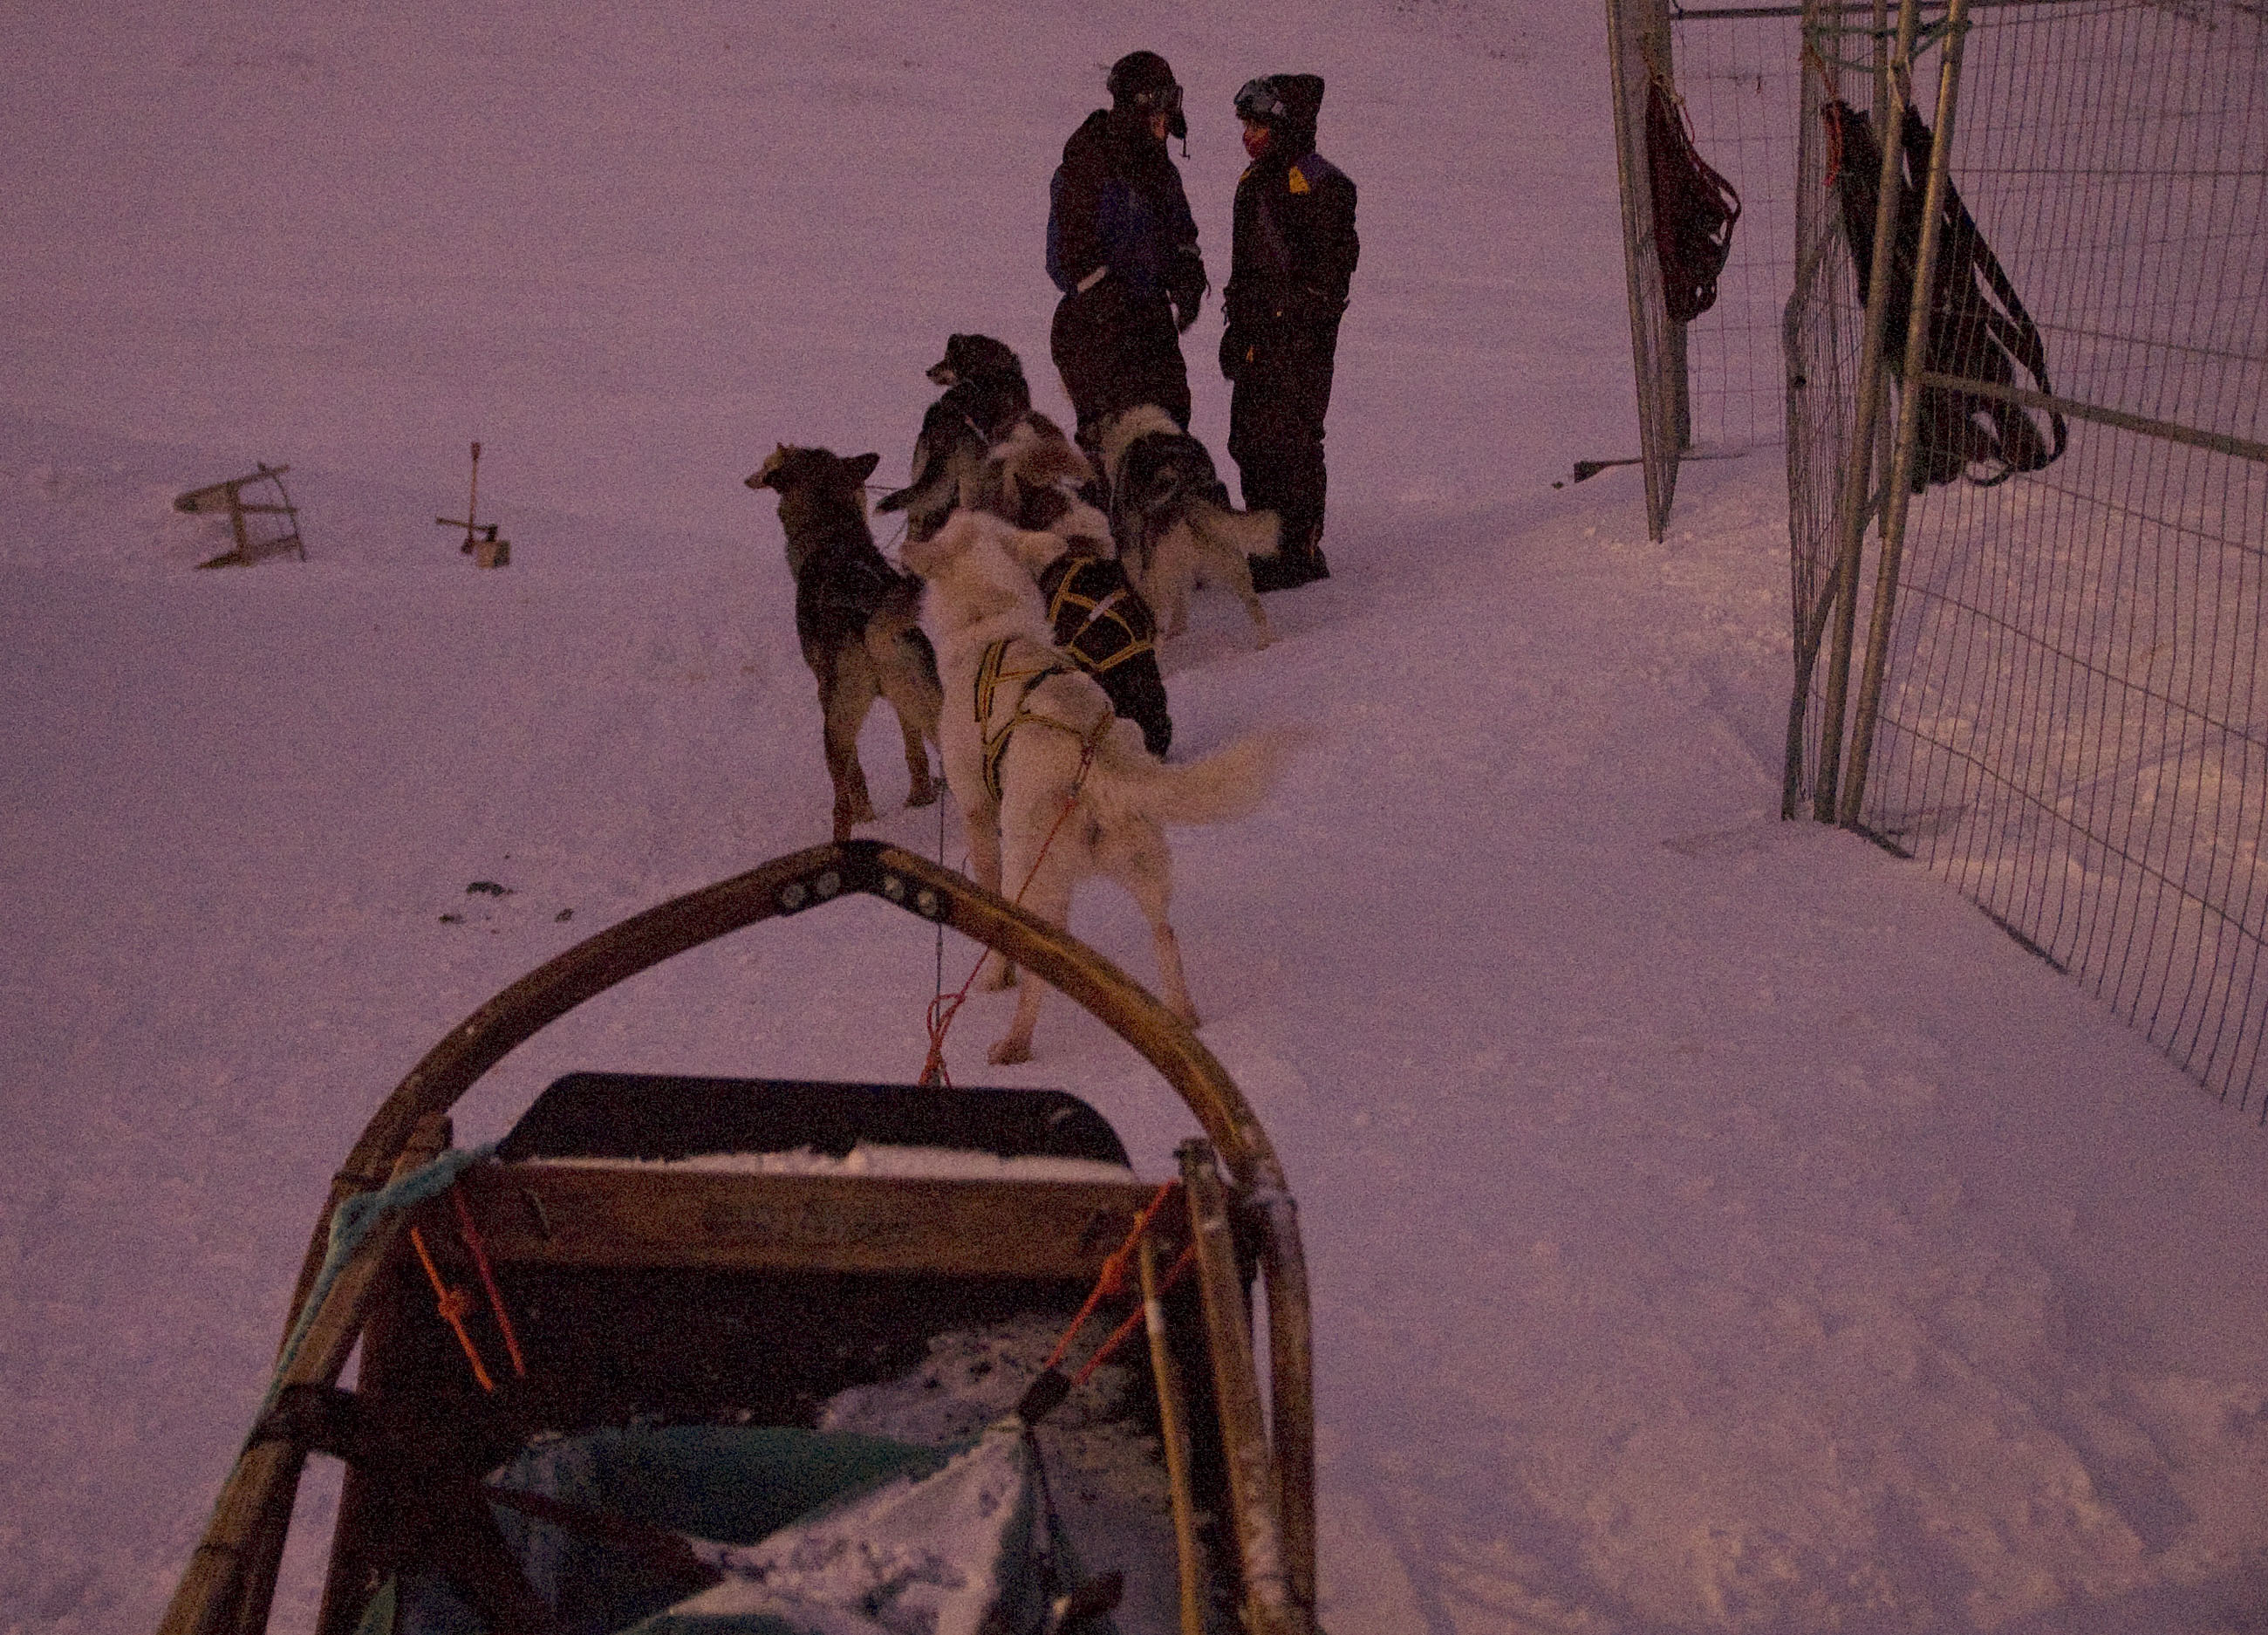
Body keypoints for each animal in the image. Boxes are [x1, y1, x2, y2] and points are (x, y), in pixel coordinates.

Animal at [748, 441, 943, 843]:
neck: (833, 536)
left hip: (836, 726)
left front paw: (868, 815)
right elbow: (915, 755)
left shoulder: (824, 694)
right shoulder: (906, 707)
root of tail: (870, 627)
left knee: (841, 804)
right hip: (934, 710)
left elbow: (857, 778)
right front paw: (920, 799)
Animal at [875, 331, 1038, 542]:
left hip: (922, 477)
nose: (928, 372)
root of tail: (944, 421)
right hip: (969, 483)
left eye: (948, 359)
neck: (994, 371)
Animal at [898, 512, 1306, 1070]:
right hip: (1146, 869)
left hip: (1032, 878)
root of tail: (1096, 764)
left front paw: (996, 976)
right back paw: (1183, 1016)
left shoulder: (978, 813)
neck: (995, 626)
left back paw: (1015, 1041)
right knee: (1165, 936)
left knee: (1038, 973)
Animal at [1093, 401, 1279, 644]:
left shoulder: (1132, 557)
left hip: (1157, 577)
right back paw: (1267, 643)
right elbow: (1181, 597)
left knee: (1158, 624)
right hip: (1230, 557)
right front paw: (1179, 628)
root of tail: (1185, 492)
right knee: (1255, 606)